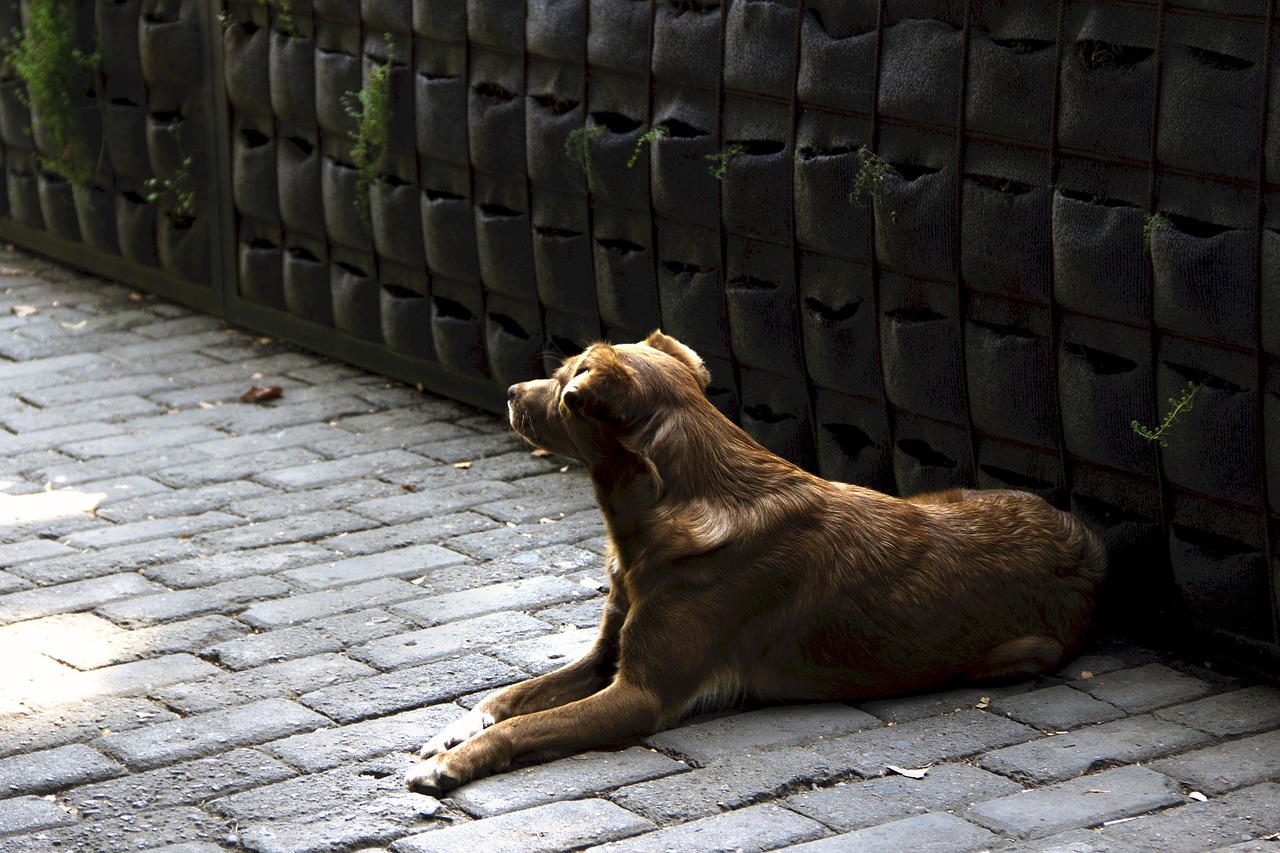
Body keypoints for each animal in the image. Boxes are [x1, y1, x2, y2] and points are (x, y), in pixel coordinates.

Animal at [404, 327, 1105, 794]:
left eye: (565, 385)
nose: (510, 390)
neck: (652, 524)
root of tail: (1085, 540)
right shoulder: (607, 656)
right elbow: (512, 696)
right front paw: (455, 730)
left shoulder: (639, 693)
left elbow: (526, 725)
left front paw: (450, 764)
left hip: (1020, 654)